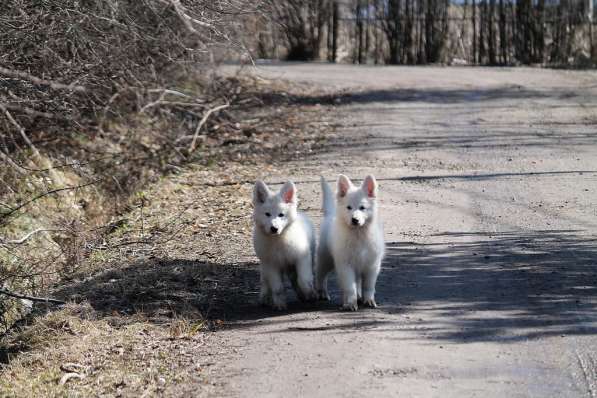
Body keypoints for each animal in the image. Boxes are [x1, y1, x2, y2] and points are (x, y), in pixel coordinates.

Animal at [251, 180, 316, 310]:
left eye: (281, 215)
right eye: (267, 214)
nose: (274, 228)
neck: (278, 239)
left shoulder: (302, 258)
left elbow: (304, 280)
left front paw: (309, 293)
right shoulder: (271, 264)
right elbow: (277, 288)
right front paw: (280, 304)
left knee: (295, 279)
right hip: (265, 266)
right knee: (265, 281)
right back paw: (264, 298)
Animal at [314, 175, 384, 310]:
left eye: (362, 208)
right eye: (348, 207)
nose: (354, 220)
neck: (358, 235)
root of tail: (330, 215)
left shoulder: (371, 266)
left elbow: (368, 286)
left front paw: (368, 300)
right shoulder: (346, 265)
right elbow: (350, 287)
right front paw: (351, 303)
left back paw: (357, 297)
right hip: (326, 260)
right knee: (320, 276)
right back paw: (322, 293)